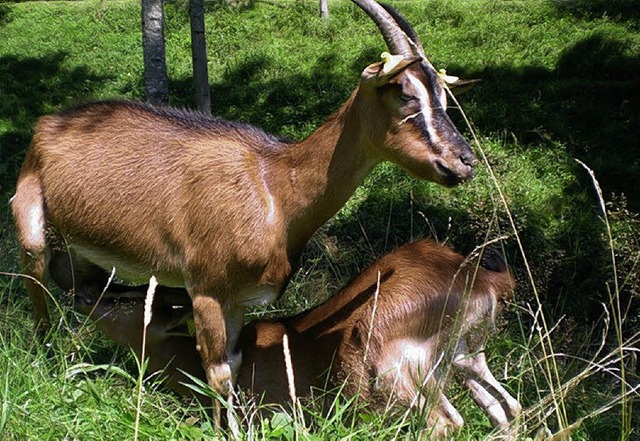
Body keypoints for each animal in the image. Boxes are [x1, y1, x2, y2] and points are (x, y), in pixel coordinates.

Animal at [11, 0, 476, 400]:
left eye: (443, 96)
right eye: (403, 91)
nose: (464, 161)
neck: (276, 188)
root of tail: (47, 124)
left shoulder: (237, 300)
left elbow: (233, 367)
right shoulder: (207, 291)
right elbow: (217, 374)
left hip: (84, 256)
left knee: (84, 291)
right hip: (31, 226)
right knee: (37, 288)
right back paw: (46, 360)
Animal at [71, 241, 520, 436]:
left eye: (126, 298)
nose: (85, 291)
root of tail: (484, 278)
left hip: (393, 361)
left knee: (447, 421)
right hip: (463, 355)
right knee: (506, 407)